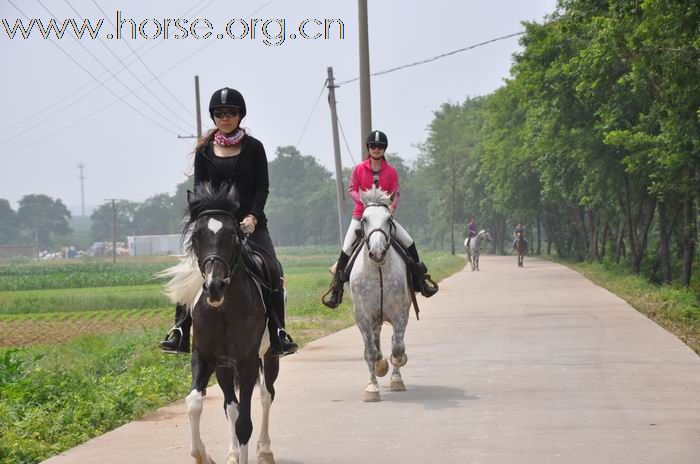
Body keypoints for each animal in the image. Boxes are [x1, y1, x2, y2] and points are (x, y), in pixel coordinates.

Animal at [163, 185, 280, 464]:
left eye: (232, 235)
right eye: (197, 236)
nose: (213, 287)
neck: (225, 308)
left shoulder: (248, 363)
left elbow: (246, 423)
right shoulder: (205, 358)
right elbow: (194, 403)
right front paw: (204, 456)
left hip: (269, 355)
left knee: (266, 395)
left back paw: (265, 450)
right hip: (224, 367)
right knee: (232, 406)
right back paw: (232, 453)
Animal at [348, 185, 412, 402]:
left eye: (389, 219)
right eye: (364, 219)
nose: (377, 252)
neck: (379, 271)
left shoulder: (400, 312)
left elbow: (398, 346)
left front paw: (396, 372)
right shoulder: (363, 315)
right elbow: (370, 351)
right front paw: (372, 388)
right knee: (375, 342)